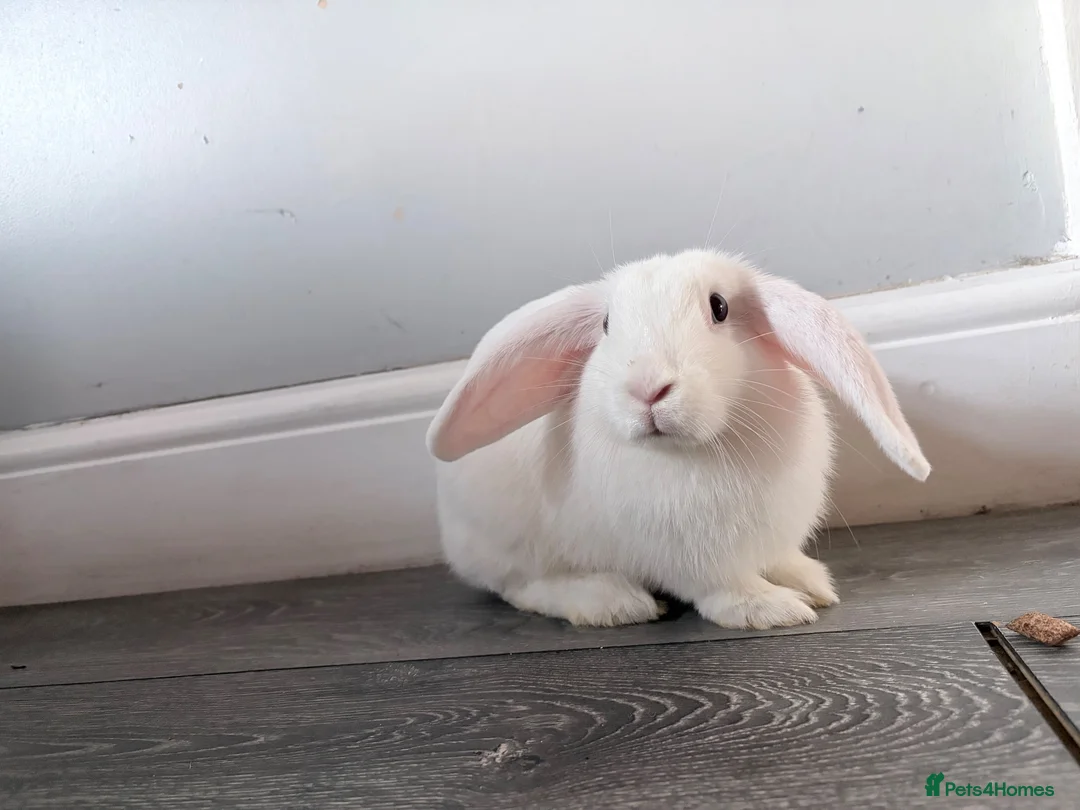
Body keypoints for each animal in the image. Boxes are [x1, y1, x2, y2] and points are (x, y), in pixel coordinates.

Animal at [425, 249, 930, 630]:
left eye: (719, 307)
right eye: (606, 325)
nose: (648, 387)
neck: (691, 453)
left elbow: (779, 560)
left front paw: (811, 582)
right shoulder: (692, 561)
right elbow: (726, 589)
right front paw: (773, 609)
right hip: (513, 545)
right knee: (523, 588)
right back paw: (613, 602)